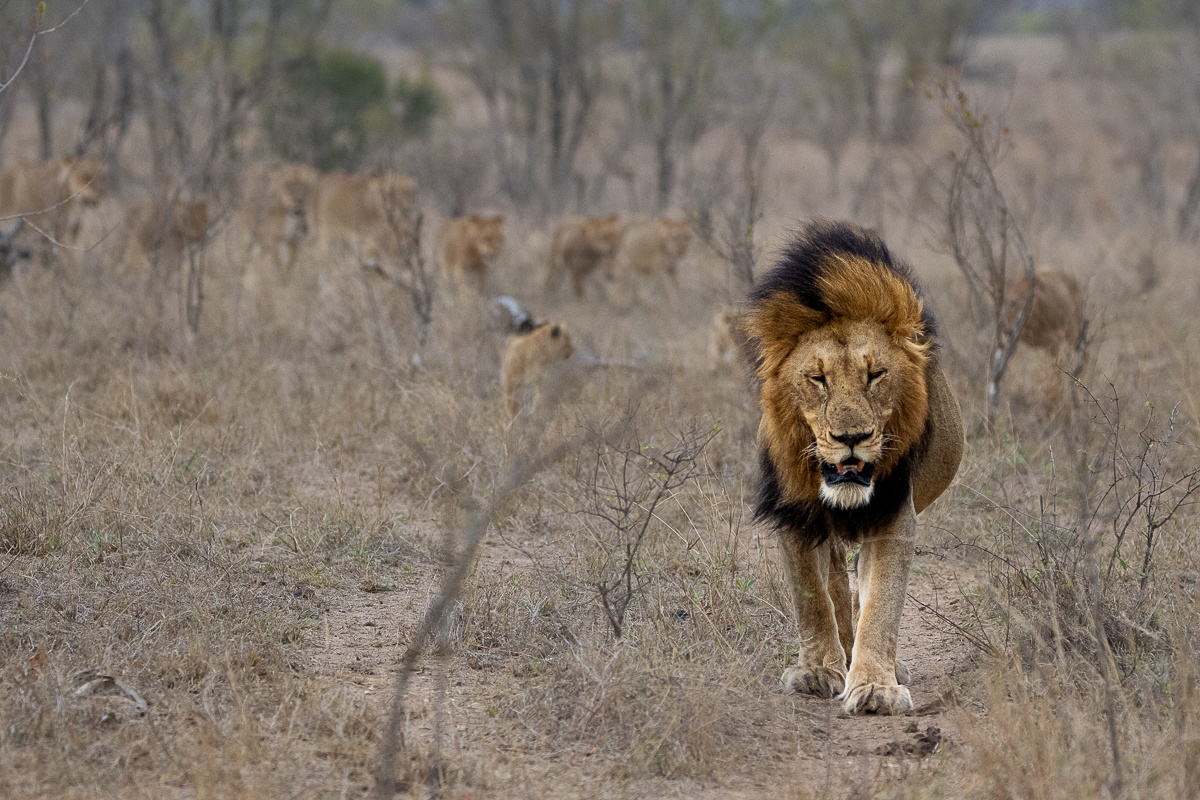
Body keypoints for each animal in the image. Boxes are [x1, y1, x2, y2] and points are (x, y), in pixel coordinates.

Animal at [743, 220, 964, 715]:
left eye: (875, 375)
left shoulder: (894, 515)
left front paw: (877, 687)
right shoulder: (795, 515)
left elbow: (881, 602)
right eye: (818, 378)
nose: (851, 438)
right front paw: (816, 671)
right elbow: (812, 597)